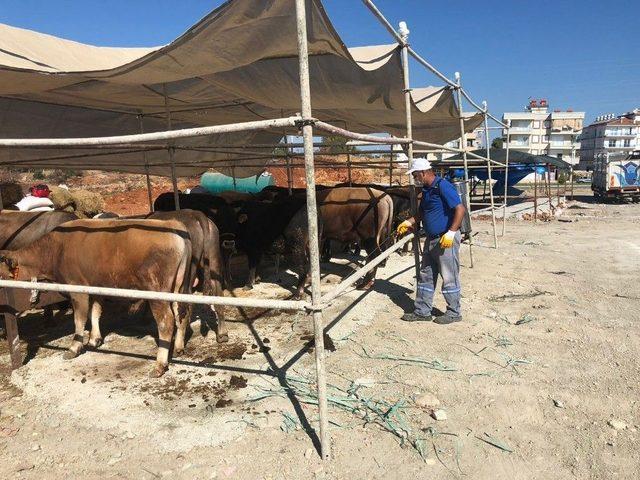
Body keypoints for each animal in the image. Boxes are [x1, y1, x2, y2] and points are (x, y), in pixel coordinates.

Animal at [0, 218, 192, 378]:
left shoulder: (77, 289)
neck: (55, 249)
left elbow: (79, 319)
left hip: (156, 291)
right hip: (178, 287)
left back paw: (159, 365)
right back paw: (178, 347)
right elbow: (95, 312)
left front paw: (74, 347)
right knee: (183, 313)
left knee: (166, 322)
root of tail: (174, 225)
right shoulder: (94, 287)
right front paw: (94, 340)